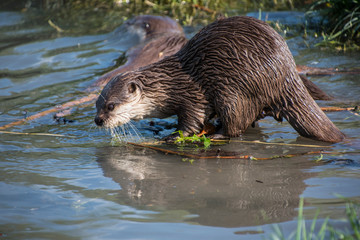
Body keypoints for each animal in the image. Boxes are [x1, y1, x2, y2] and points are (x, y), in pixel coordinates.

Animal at [94, 17, 344, 144]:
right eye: (97, 105)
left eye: (111, 106)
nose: (98, 120)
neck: (169, 85)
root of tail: (286, 72)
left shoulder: (192, 97)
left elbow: (191, 122)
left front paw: (173, 136)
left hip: (235, 91)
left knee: (236, 123)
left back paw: (217, 134)